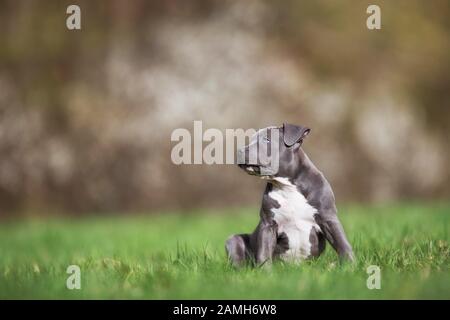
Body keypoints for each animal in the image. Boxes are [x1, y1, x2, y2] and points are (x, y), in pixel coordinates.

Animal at [227, 124, 354, 266]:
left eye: (267, 139)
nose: (239, 151)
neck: (287, 186)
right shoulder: (268, 224)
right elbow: (264, 252)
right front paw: (266, 270)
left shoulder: (328, 218)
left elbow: (342, 243)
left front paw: (350, 266)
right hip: (233, 240)